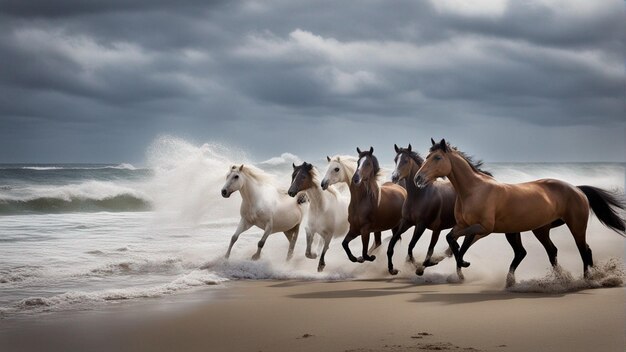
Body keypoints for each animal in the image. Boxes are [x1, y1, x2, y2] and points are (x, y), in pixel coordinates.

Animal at [414, 138, 624, 286]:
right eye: (426, 157)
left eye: (437, 158)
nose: (418, 178)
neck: (473, 190)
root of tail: (577, 188)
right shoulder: (465, 226)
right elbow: (453, 241)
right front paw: (440, 266)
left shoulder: (484, 228)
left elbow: (456, 242)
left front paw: (461, 265)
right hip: (537, 229)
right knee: (544, 252)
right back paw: (553, 280)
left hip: (576, 226)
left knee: (583, 250)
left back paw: (587, 280)